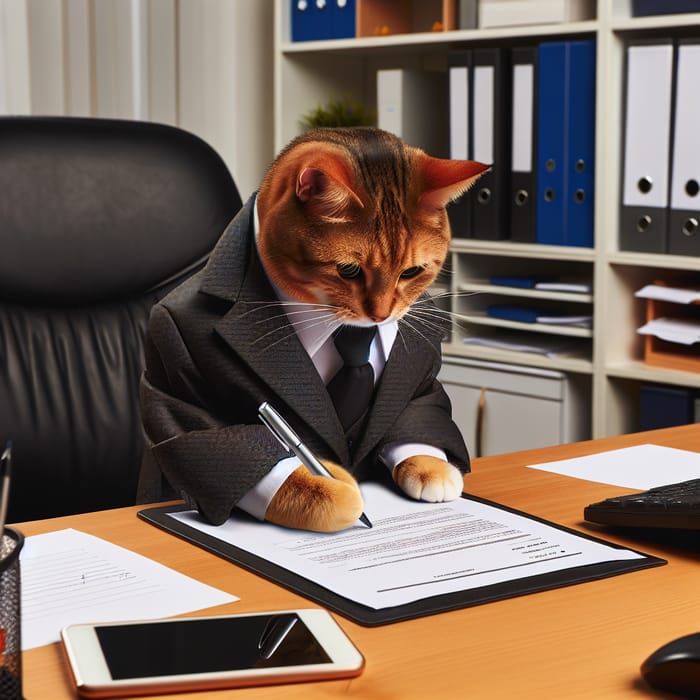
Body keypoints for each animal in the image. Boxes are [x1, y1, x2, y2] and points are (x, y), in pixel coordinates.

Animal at [254, 127, 490, 532]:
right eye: (348, 270)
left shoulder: (421, 386)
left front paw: (431, 467)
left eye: (411, 272)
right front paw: (335, 491)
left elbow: (413, 420)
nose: (381, 315)